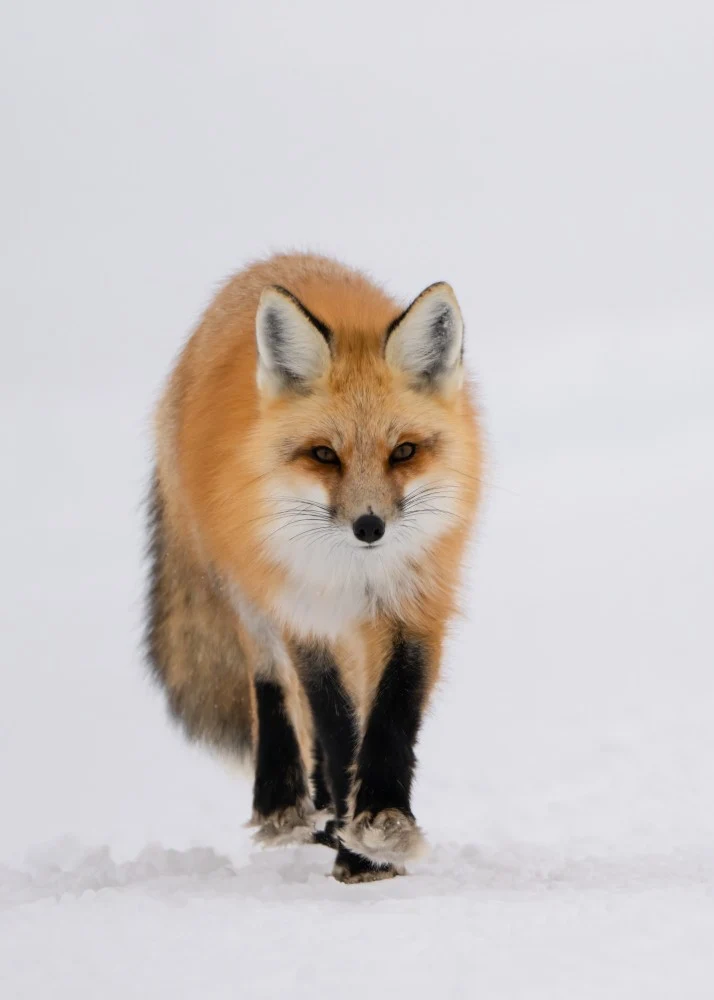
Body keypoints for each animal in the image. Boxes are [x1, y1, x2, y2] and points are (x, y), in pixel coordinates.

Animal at [145, 253, 481, 883]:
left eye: (404, 451)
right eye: (325, 455)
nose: (369, 527)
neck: (355, 574)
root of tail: (269, 263)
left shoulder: (413, 603)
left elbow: (391, 714)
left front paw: (378, 828)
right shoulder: (305, 611)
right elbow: (332, 718)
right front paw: (358, 847)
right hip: (248, 589)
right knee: (270, 682)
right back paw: (287, 805)